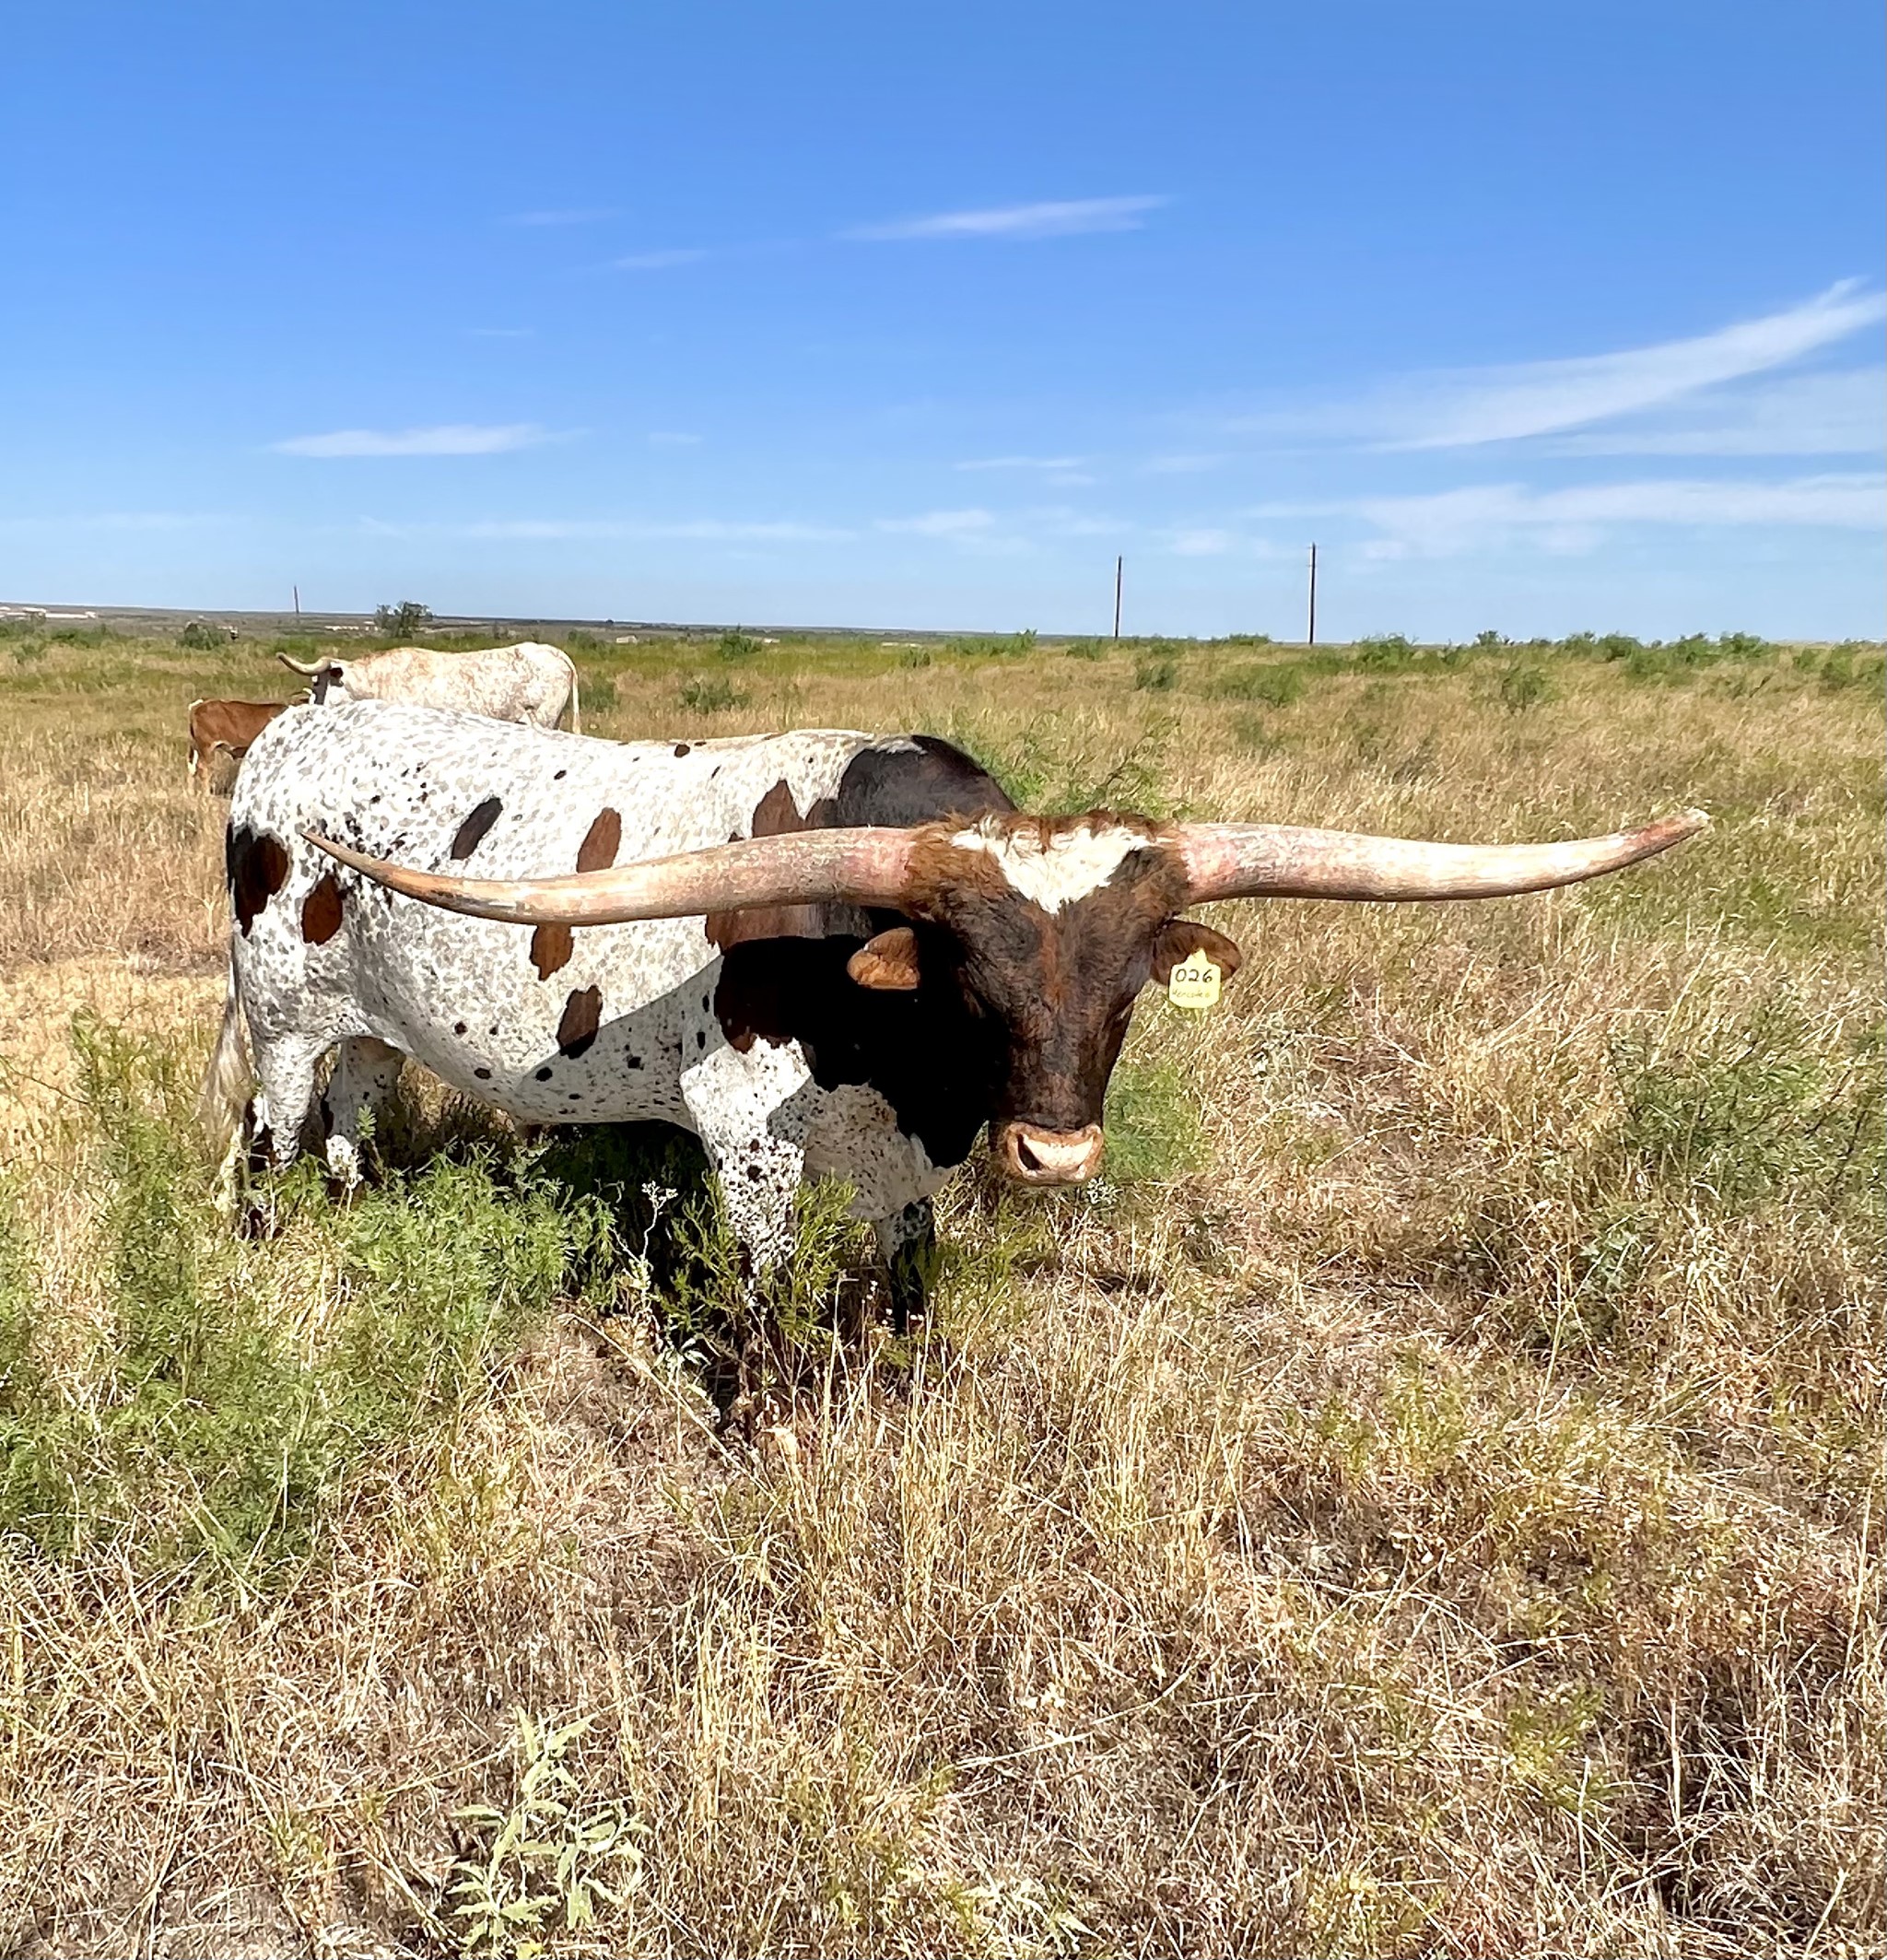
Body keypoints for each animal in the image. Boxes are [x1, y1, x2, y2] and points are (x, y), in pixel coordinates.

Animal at [201, 700, 1704, 1330]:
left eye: (1133, 984)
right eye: (968, 979)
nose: (1056, 1155)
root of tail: (283, 735)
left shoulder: (907, 1158)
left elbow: (909, 1289)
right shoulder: (744, 1144)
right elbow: (768, 1316)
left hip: (368, 1025)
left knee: (355, 1111)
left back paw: (359, 1215)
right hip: (277, 1024)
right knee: (265, 1152)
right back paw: (272, 1261)